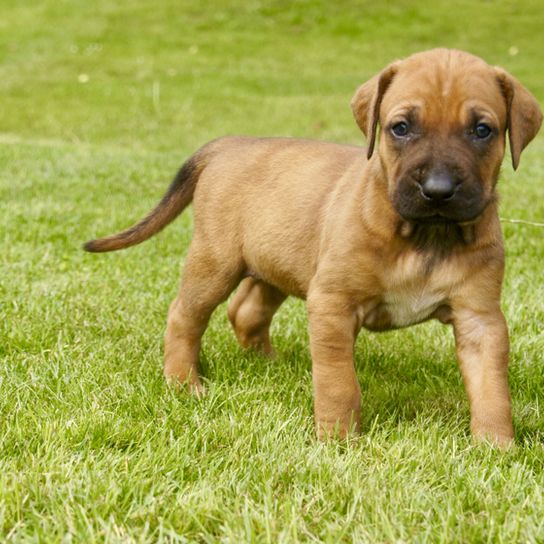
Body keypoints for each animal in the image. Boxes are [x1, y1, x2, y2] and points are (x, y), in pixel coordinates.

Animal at [85, 47, 540, 446]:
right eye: (401, 128)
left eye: (482, 130)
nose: (438, 190)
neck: (425, 237)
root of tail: (229, 143)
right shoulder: (333, 303)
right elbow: (338, 382)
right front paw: (338, 440)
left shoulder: (480, 319)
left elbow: (491, 389)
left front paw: (496, 446)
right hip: (215, 263)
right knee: (185, 316)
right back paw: (183, 382)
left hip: (276, 260)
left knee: (246, 310)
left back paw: (267, 365)